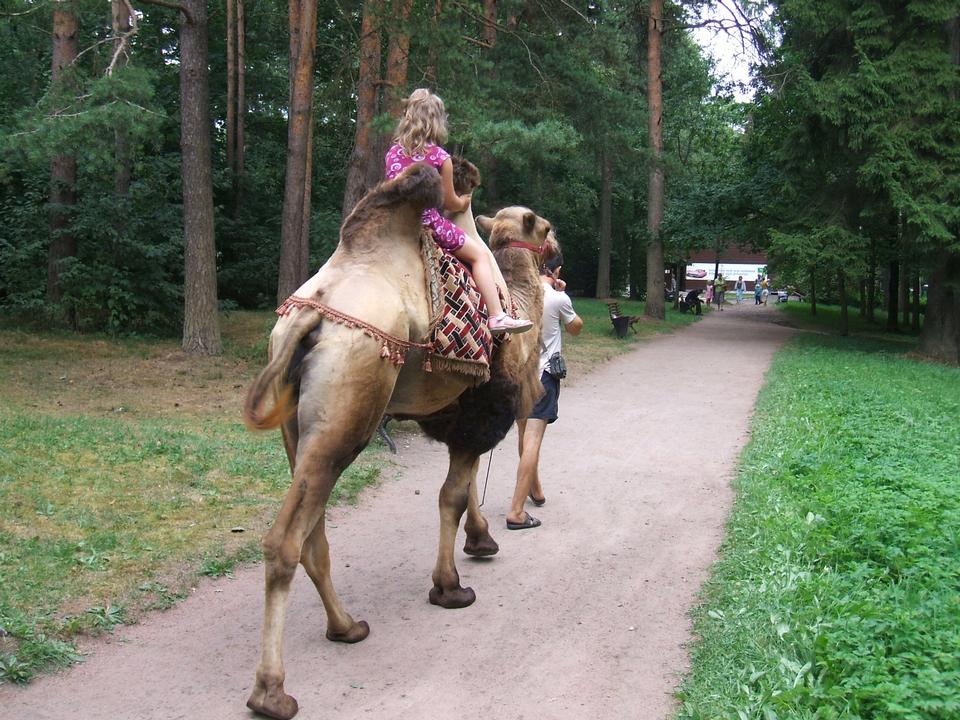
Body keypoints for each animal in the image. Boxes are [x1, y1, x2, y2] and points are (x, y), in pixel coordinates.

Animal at [242, 163, 556, 720]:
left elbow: (466, 488)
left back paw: (347, 627)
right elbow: (452, 495)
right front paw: (450, 586)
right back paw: (272, 693)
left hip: (296, 427)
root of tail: (312, 317)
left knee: (313, 535)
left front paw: (481, 542)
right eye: (546, 228)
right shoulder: (485, 409)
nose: (559, 255)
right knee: (285, 540)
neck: (517, 300)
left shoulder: (455, 414)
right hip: (351, 405)